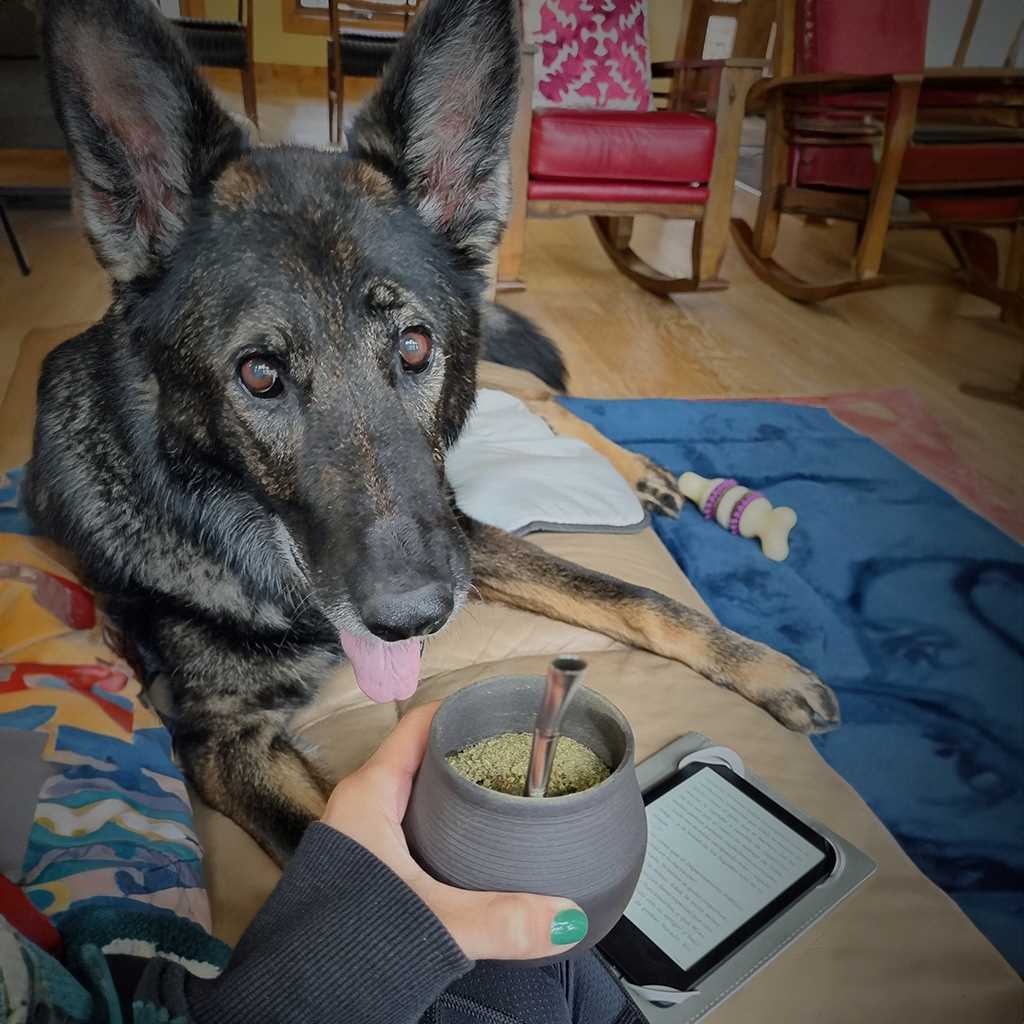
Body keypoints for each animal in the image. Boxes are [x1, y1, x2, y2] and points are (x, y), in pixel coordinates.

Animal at [29, 0, 839, 864]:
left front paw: (763, 666)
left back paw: (640, 469)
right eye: (259, 374)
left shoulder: (456, 531)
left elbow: (630, 595)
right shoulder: (223, 741)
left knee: (540, 392)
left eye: (415, 347)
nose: (414, 620)